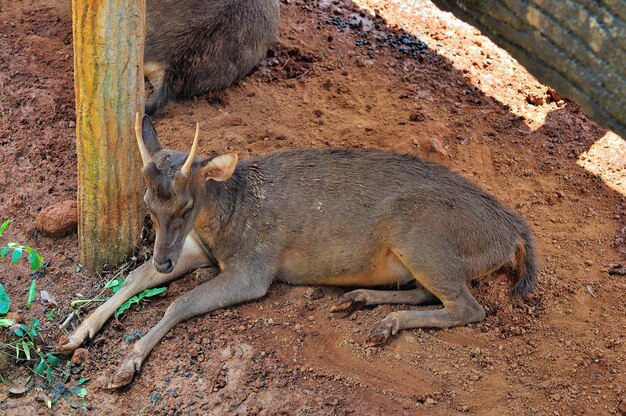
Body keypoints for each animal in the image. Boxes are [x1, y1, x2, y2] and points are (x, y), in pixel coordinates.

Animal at [59, 113, 536, 386]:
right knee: (428, 292)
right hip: (420, 255)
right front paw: (76, 334)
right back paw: (359, 302)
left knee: (469, 307)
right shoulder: (200, 250)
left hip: (421, 234)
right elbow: (135, 276)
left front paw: (126, 366)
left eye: (187, 205)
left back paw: (384, 324)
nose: (164, 259)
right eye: (147, 204)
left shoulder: (253, 267)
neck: (226, 222)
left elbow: (178, 304)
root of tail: (514, 231)